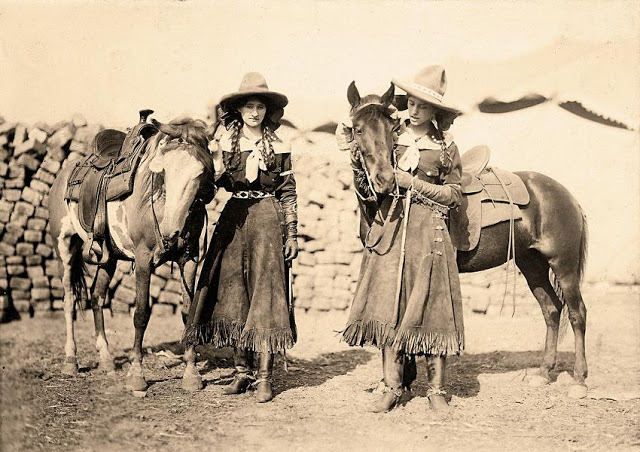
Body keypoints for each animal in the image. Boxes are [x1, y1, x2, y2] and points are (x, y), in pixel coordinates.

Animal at [50, 116, 215, 392]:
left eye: (200, 172)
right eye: (163, 171)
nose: (170, 232)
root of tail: (64, 174)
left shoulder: (189, 259)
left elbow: (188, 312)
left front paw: (191, 373)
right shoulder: (143, 259)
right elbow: (141, 314)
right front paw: (136, 375)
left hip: (108, 258)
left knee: (96, 296)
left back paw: (106, 359)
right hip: (64, 247)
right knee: (69, 300)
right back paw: (70, 360)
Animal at [344, 83, 592, 398]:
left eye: (392, 128)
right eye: (358, 128)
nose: (385, 179)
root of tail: (567, 196)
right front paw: (399, 379)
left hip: (563, 265)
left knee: (577, 313)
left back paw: (579, 380)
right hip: (531, 264)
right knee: (551, 310)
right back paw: (543, 373)